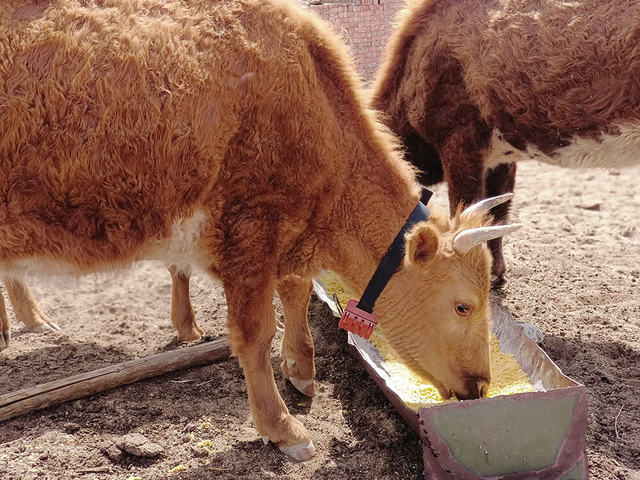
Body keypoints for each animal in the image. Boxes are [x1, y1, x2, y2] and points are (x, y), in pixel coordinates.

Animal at [0, 0, 519, 459]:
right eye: (463, 305)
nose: (480, 385)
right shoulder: (249, 228)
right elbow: (255, 332)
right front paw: (284, 429)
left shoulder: (285, 233)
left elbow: (296, 294)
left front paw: (302, 369)